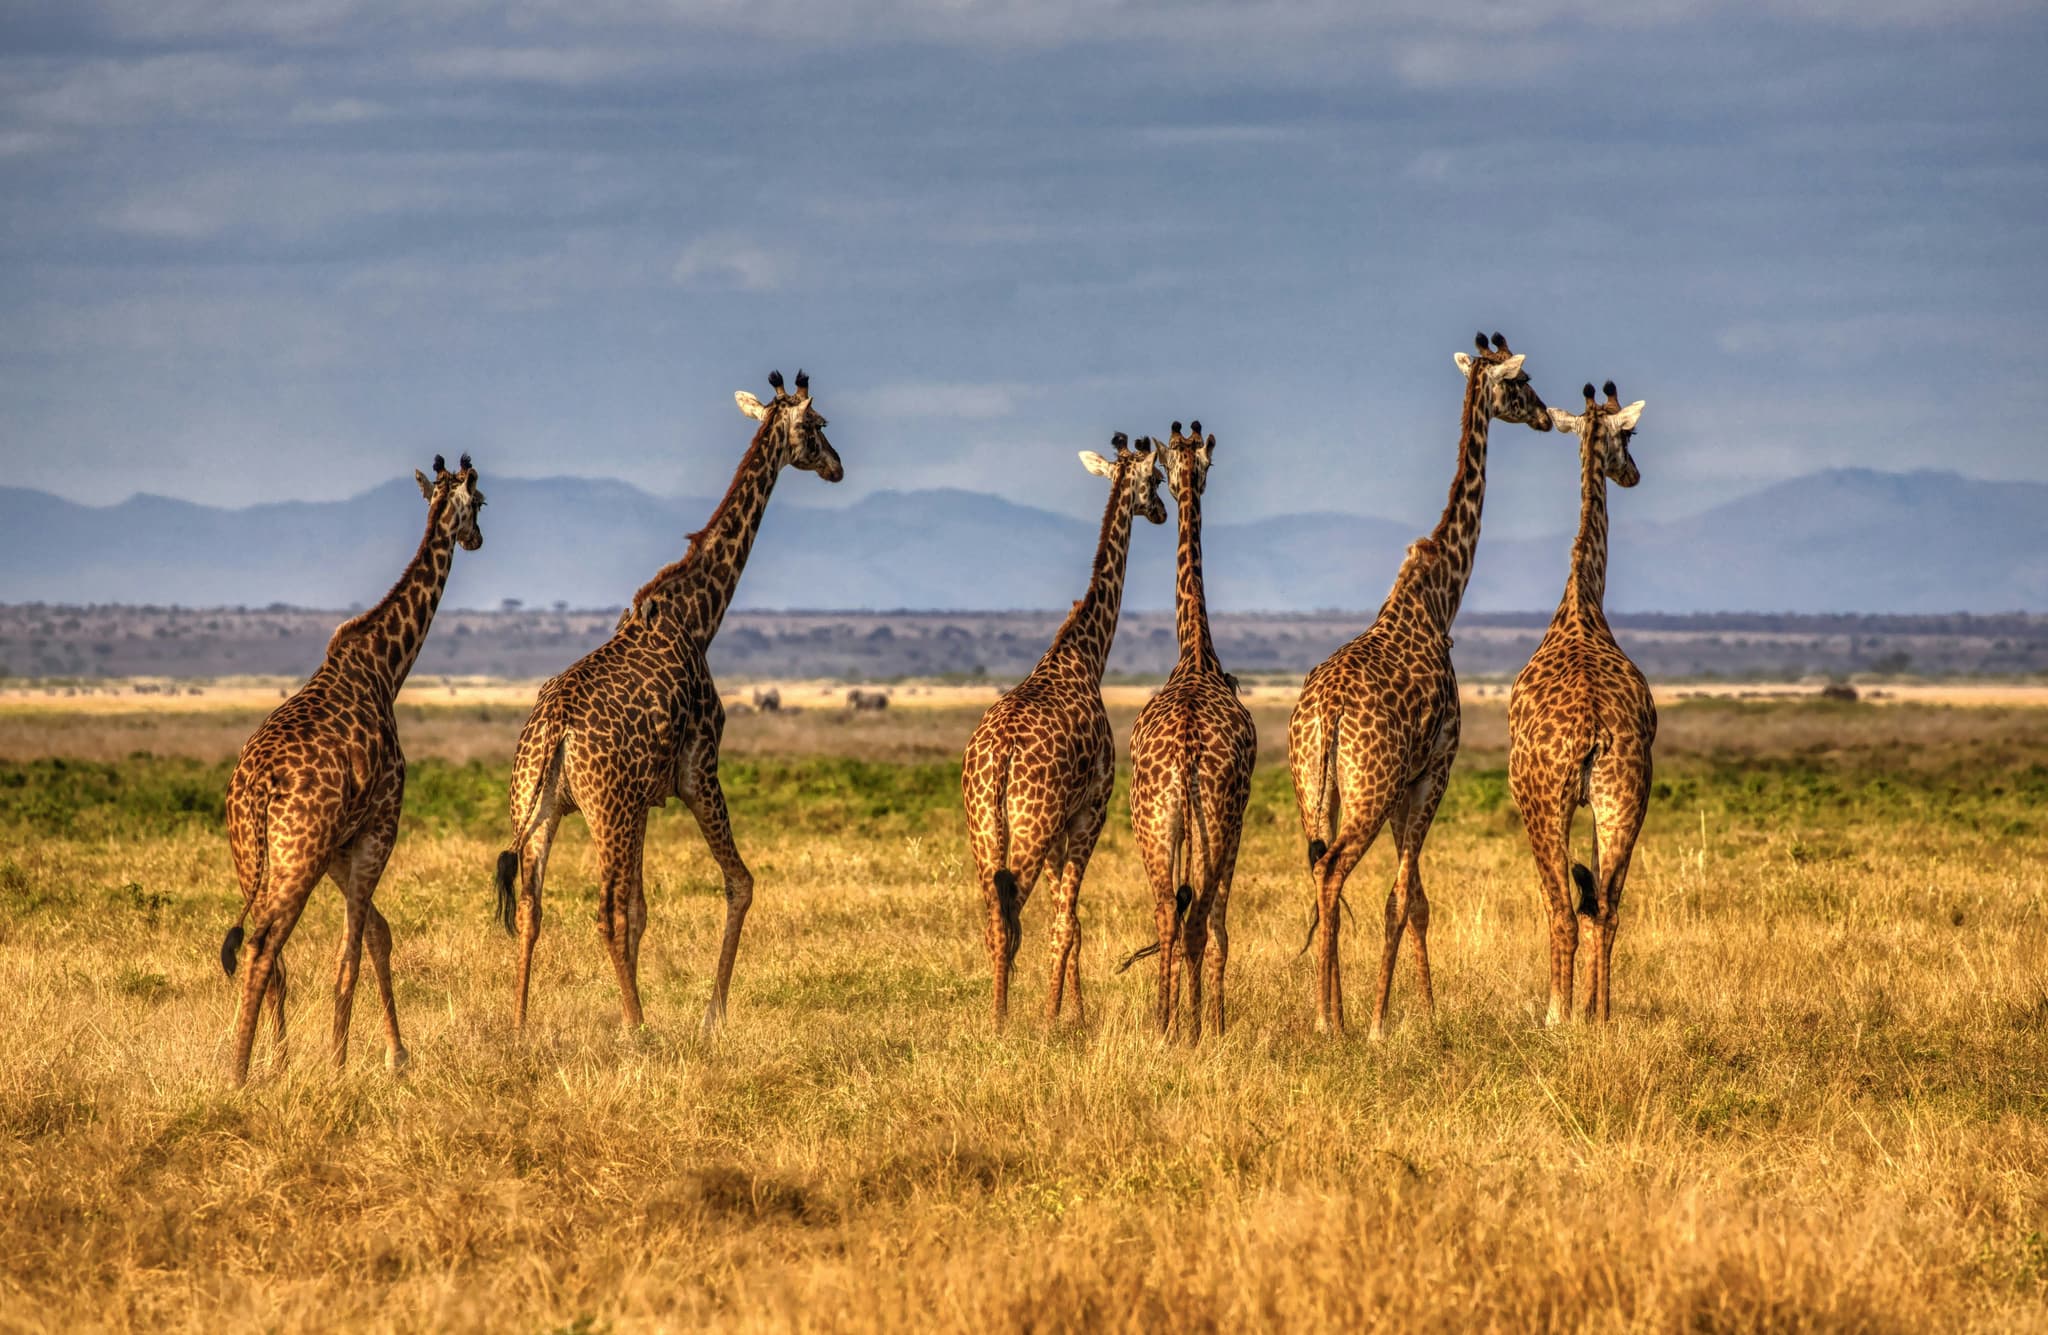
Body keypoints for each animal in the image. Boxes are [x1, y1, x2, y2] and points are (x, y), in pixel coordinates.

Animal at [218, 454, 485, 1086]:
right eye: (484, 502)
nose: (478, 539)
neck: (387, 667)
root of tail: (256, 788)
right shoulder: (380, 823)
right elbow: (352, 954)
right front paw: (340, 1066)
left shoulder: (340, 844)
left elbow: (378, 936)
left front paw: (393, 1055)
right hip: (297, 853)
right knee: (264, 945)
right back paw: (239, 1073)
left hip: (253, 855)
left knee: (271, 956)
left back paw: (273, 1062)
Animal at [496, 370, 842, 1036]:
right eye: (817, 426)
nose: (838, 467)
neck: (697, 617)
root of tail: (553, 733)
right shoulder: (697, 769)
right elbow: (739, 884)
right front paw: (712, 1015)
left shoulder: (646, 798)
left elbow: (643, 909)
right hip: (605, 810)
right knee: (602, 911)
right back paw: (638, 1029)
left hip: (540, 807)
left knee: (531, 908)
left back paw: (522, 1025)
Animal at [961, 433, 1166, 1026]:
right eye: (1157, 479)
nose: (1162, 513)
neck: (1084, 654)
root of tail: (1000, 756)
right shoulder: (1090, 810)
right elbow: (1067, 922)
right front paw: (1060, 1018)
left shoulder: (1059, 827)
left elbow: (1067, 921)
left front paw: (1072, 1010)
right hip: (1029, 825)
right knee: (1013, 916)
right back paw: (1005, 1020)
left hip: (984, 828)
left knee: (994, 919)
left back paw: (998, 1014)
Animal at [1288, 332, 1553, 1038]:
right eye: (1522, 384)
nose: (1548, 417)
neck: (1438, 599)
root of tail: (1325, 716)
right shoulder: (1436, 765)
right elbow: (1405, 897)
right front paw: (1393, 1022)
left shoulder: (1409, 779)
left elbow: (1415, 899)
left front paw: (1419, 1011)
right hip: (1371, 788)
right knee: (1334, 871)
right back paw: (1332, 1022)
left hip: (1316, 788)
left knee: (1319, 871)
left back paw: (1329, 1013)